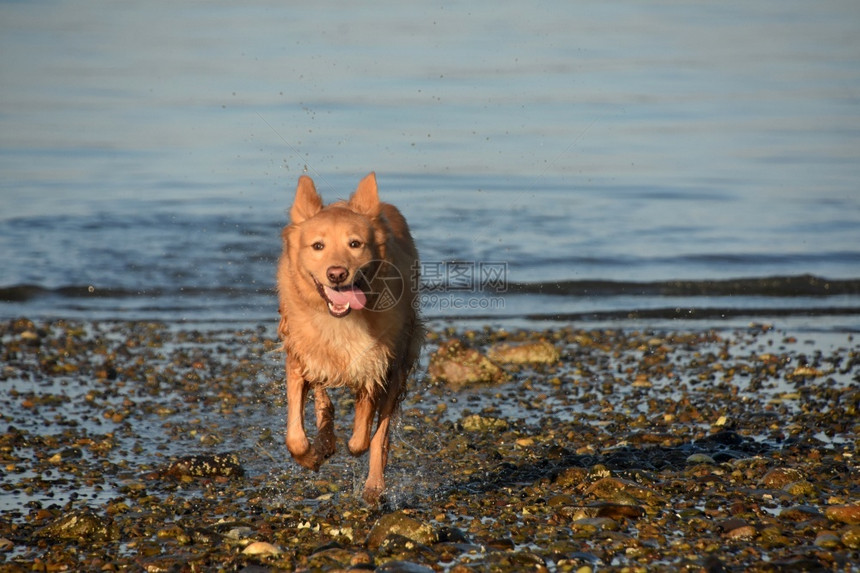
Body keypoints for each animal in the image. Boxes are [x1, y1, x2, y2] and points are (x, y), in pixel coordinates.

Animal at [278, 172, 422, 502]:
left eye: (355, 244)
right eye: (317, 245)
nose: (336, 273)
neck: (339, 322)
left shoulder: (375, 366)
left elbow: (362, 439)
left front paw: (350, 447)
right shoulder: (298, 358)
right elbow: (295, 437)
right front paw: (313, 455)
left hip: (400, 365)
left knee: (380, 437)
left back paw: (374, 486)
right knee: (322, 399)